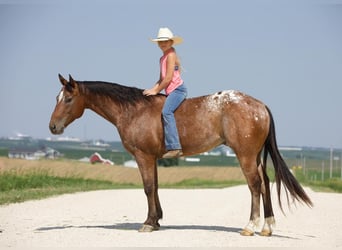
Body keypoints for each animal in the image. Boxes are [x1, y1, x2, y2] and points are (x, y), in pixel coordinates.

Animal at [48, 74, 312, 236]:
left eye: (68, 99)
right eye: (57, 98)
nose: (53, 127)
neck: (133, 110)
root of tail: (260, 106)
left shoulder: (143, 156)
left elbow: (147, 188)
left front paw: (148, 223)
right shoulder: (153, 158)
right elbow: (155, 187)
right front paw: (156, 221)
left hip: (245, 155)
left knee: (255, 185)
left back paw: (250, 226)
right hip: (254, 156)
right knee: (265, 183)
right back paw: (267, 227)